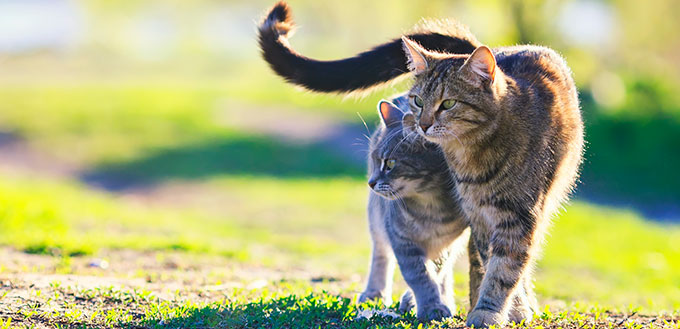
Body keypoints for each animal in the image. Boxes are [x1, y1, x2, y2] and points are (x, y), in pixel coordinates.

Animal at [358, 96, 470, 320]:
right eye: (375, 160)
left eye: (390, 163)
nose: (371, 183)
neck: (430, 207)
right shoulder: (402, 239)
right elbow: (420, 276)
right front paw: (430, 306)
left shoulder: (448, 242)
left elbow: (436, 271)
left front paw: (422, 301)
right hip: (377, 219)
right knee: (381, 254)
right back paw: (374, 292)